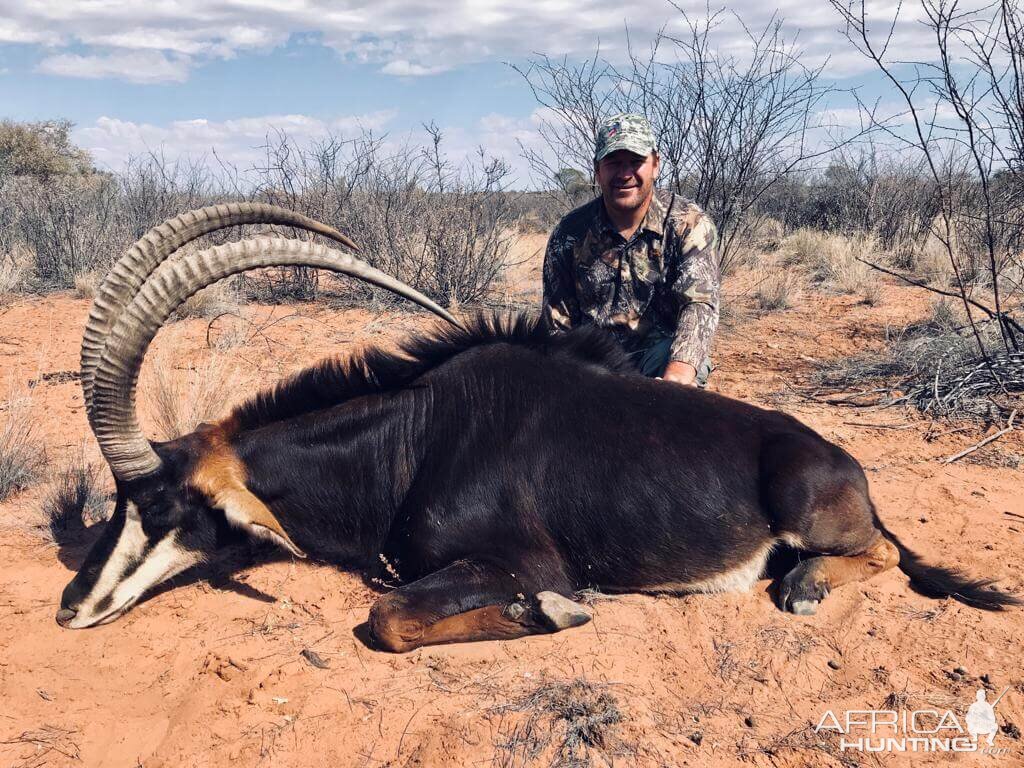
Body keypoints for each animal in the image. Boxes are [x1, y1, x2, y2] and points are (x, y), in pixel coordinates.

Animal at [58, 204, 1024, 651]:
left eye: (162, 504)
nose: (71, 607)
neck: (413, 440)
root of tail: (845, 464)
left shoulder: (521, 561)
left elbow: (390, 618)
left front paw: (556, 613)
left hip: (807, 506)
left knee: (882, 552)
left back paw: (808, 585)